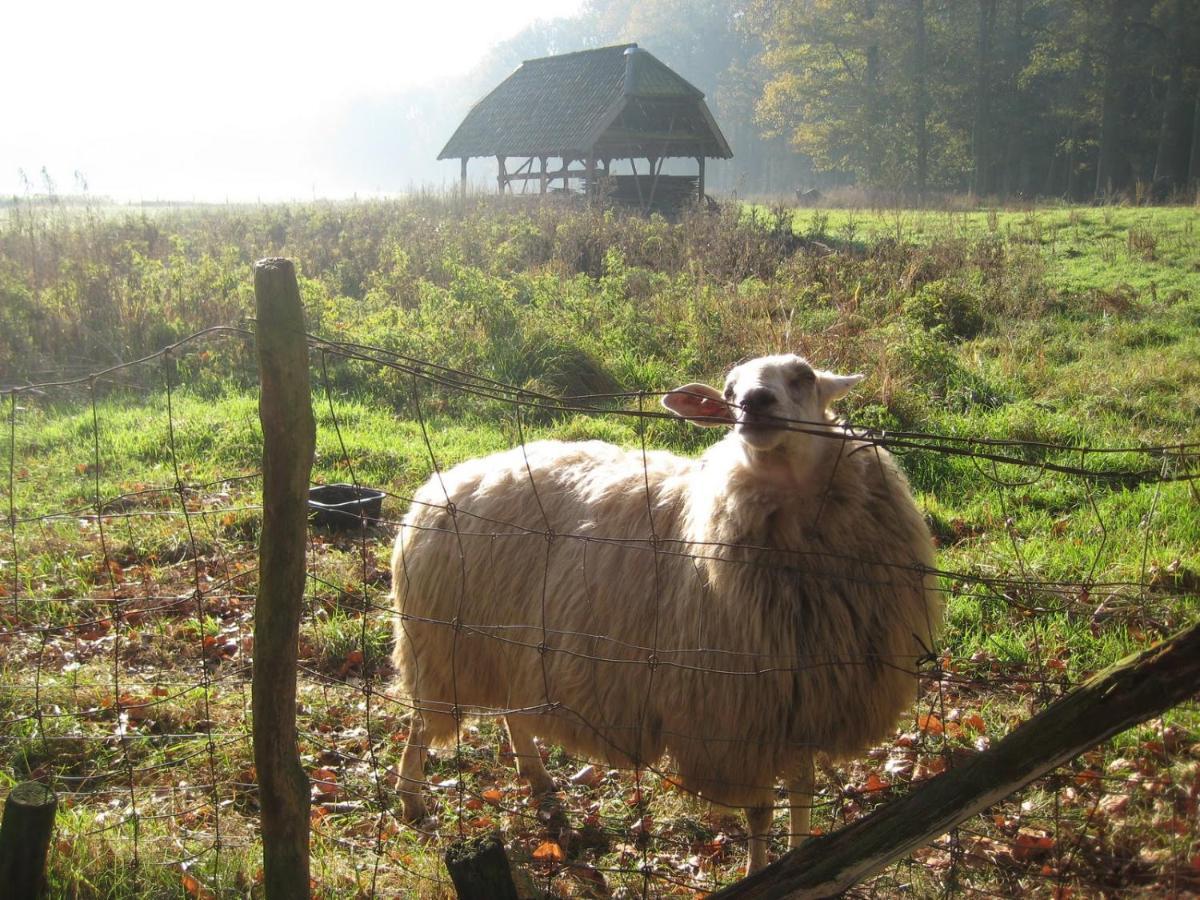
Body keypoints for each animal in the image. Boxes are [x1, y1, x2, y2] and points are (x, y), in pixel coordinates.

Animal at [388, 355, 940, 878]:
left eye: (804, 376)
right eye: (729, 389)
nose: (754, 404)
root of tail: (439, 484)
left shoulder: (804, 698)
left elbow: (802, 791)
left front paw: (802, 853)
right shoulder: (735, 715)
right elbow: (760, 810)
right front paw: (759, 871)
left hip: (509, 645)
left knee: (513, 713)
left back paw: (539, 783)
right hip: (442, 644)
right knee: (422, 722)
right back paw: (412, 801)